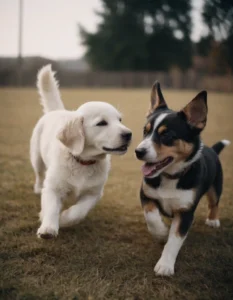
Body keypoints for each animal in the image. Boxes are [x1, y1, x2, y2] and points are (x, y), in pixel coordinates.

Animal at [29, 65, 131, 239]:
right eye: (102, 123)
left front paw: (63, 219)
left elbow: (78, 212)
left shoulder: (94, 193)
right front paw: (48, 227)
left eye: (120, 120)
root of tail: (56, 111)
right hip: (37, 158)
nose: (128, 134)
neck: (83, 162)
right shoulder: (53, 188)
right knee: (39, 175)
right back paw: (37, 188)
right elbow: (51, 208)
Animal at [135, 81, 229, 276]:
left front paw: (165, 265)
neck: (170, 176)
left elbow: (175, 240)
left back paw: (213, 220)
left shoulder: (185, 212)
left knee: (214, 202)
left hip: (216, 186)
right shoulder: (146, 195)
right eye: (145, 131)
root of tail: (212, 149)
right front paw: (161, 232)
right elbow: (151, 217)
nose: (138, 151)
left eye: (167, 135)